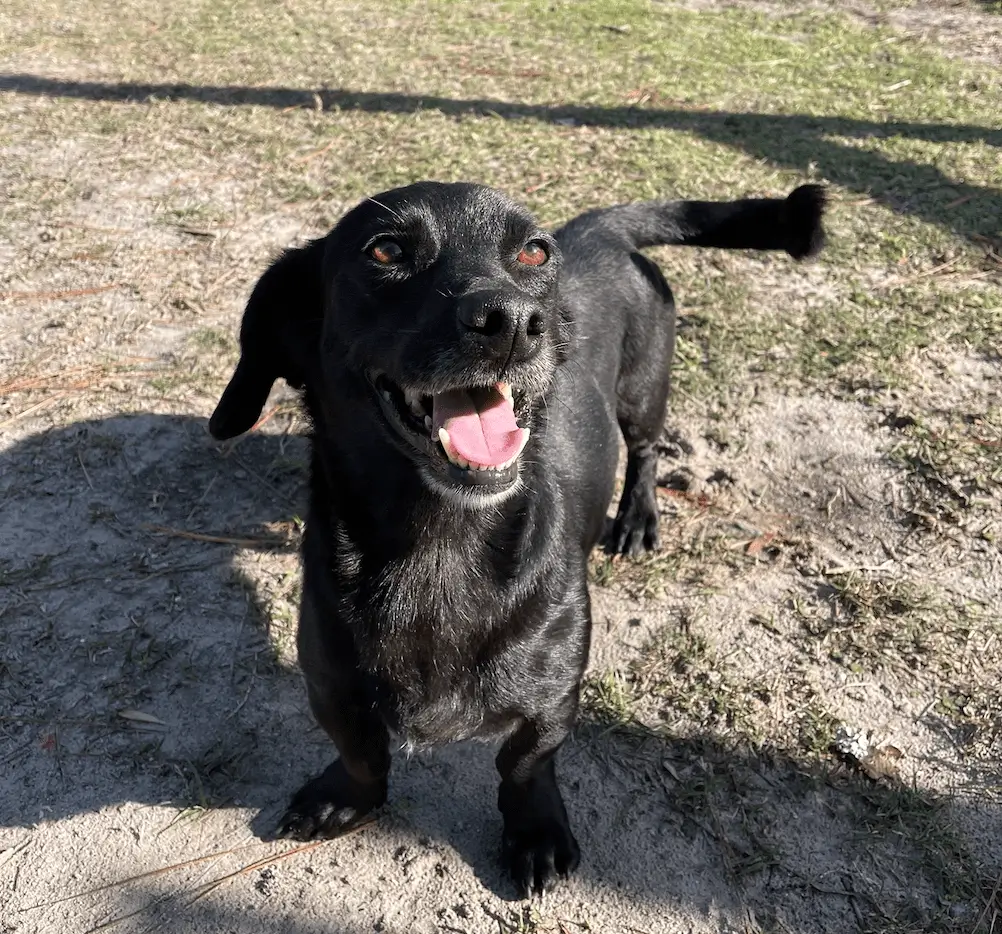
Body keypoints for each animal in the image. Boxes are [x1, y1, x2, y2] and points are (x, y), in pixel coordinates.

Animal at [207, 180, 825, 889]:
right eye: (384, 250)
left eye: (533, 252)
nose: (511, 321)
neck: (441, 544)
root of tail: (598, 230)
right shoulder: (331, 686)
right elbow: (362, 752)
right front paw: (345, 797)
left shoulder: (553, 699)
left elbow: (525, 766)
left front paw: (535, 832)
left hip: (644, 391)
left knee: (646, 450)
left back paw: (638, 518)